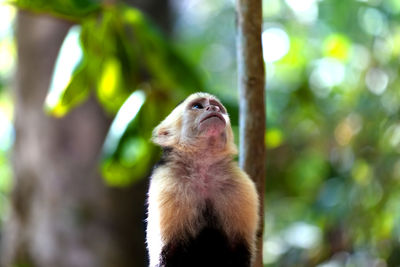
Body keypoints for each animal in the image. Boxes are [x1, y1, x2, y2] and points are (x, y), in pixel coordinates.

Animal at [147, 92, 260, 267]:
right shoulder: (167, 182)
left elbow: (239, 251)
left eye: (218, 107)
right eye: (197, 106)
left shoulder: (241, 185)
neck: (203, 170)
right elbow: (167, 253)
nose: (213, 108)